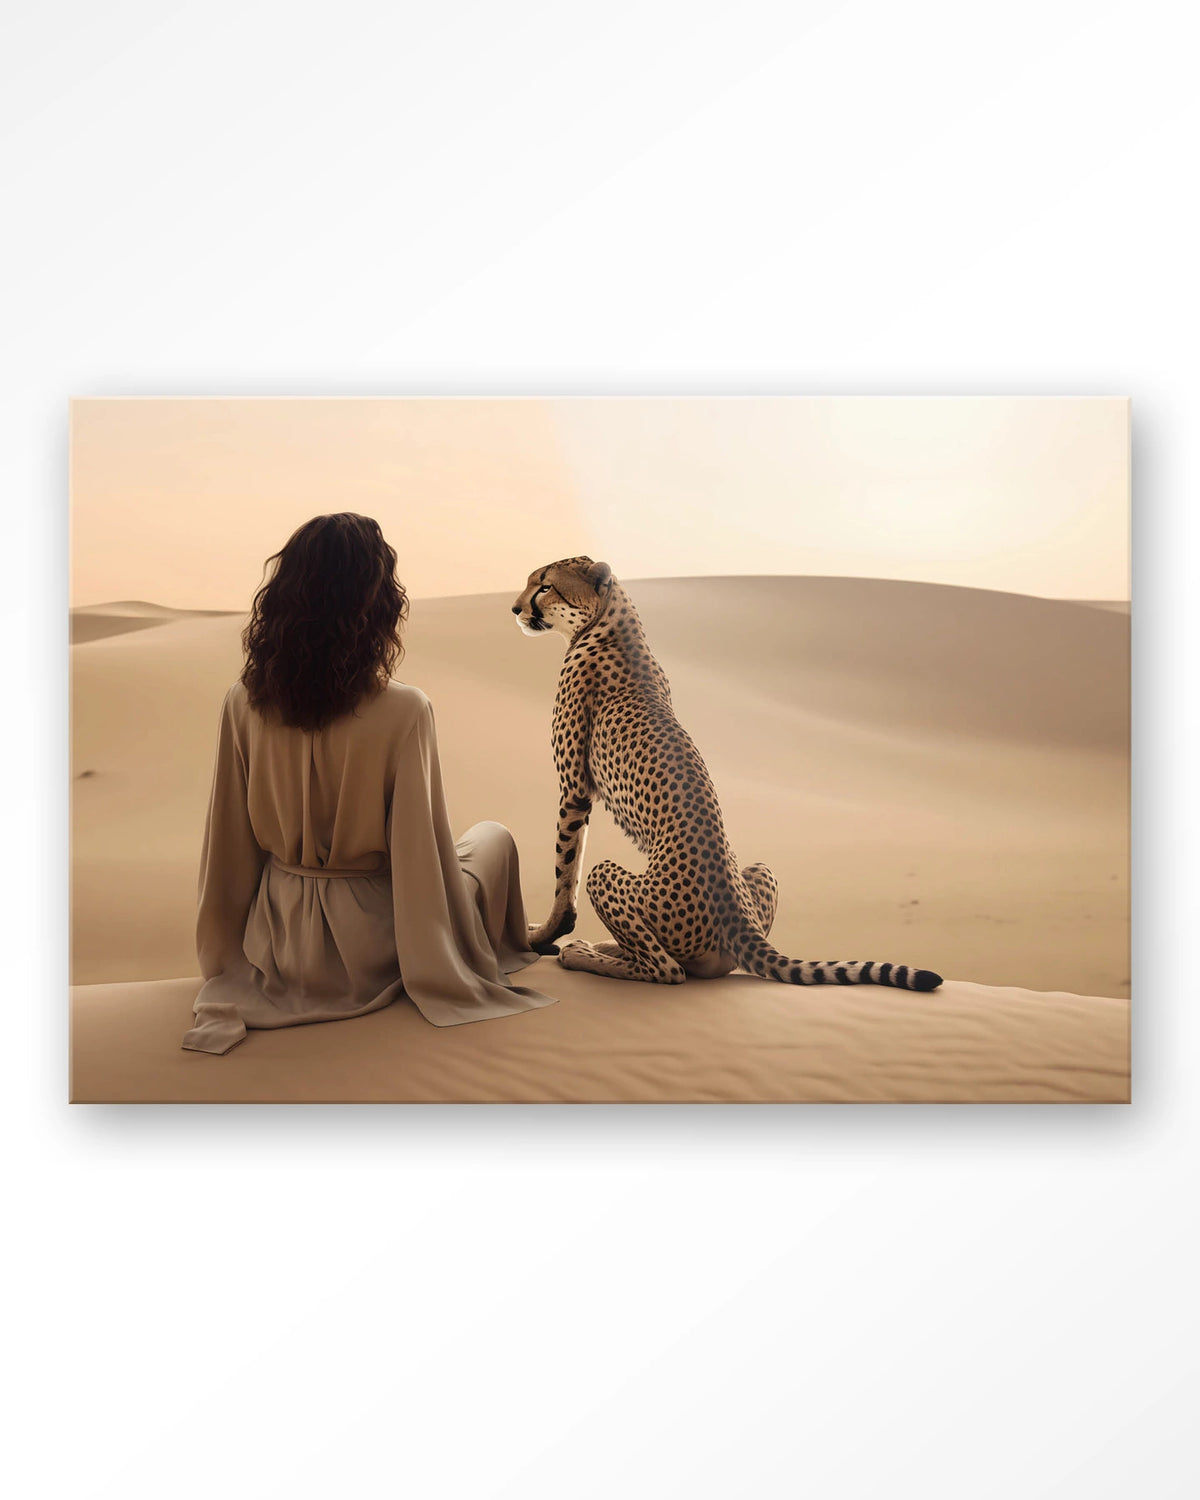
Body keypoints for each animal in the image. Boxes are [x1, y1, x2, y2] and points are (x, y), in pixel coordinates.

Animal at [512, 556, 943, 991]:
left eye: (545, 586)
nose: (515, 609)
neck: (611, 620)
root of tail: (737, 919)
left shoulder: (575, 789)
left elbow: (565, 871)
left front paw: (541, 936)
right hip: (761, 872)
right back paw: (609, 948)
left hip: (618, 883)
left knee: (668, 969)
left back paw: (583, 954)